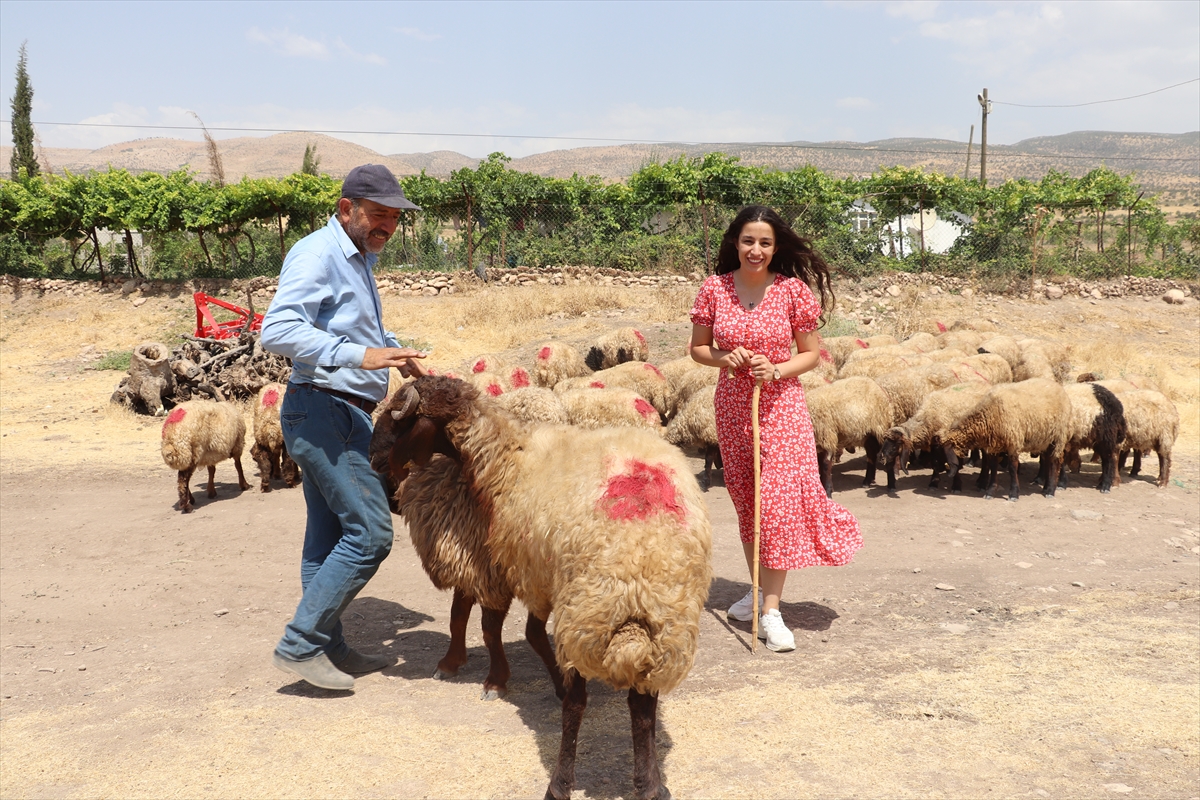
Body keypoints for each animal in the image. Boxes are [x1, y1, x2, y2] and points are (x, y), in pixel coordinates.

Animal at [372, 376, 710, 800]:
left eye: (397, 421)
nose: (372, 459)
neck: (508, 453)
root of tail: (637, 571)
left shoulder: (523, 569)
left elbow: (512, 631)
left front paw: (502, 681)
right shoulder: (539, 575)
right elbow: (524, 631)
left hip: (586, 618)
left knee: (578, 706)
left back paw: (559, 783)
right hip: (665, 630)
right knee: (644, 708)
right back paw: (650, 785)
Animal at [936, 376, 1070, 501]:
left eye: (945, 452)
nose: (947, 472)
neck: (989, 415)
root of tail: (1057, 385)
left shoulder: (1013, 443)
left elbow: (1012, 468)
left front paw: (1014, 494)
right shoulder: (995, 445)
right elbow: (993, 467)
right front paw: (990, 491)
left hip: (1058, 437)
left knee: (1055, 461)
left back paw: (1050, 491)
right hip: (1045, 440)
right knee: (1048, 460)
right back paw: (1046, 488)